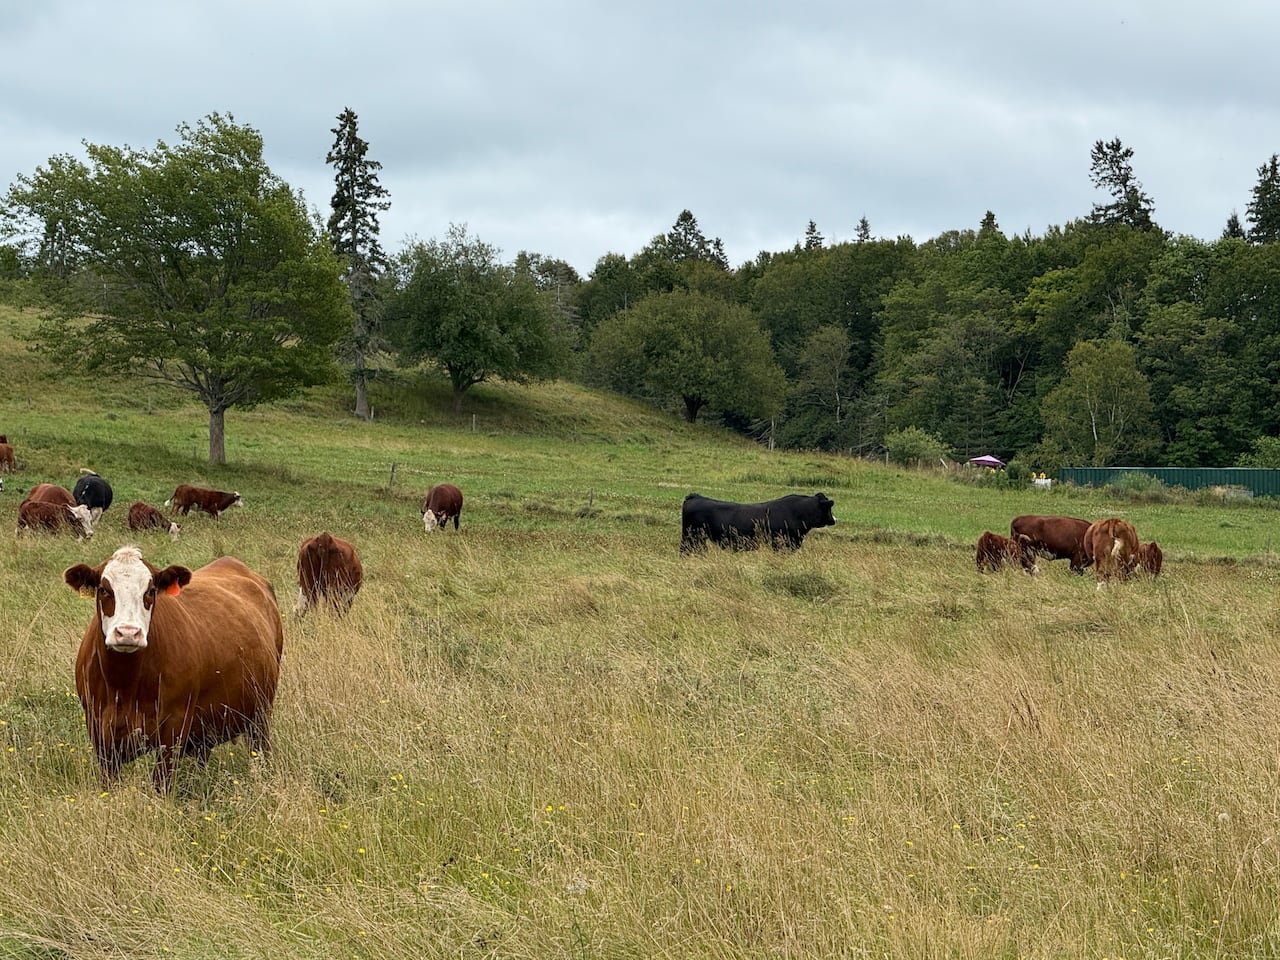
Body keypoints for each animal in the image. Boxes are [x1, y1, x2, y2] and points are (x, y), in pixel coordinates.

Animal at [63, 546, 284, 792]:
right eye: (103, 589)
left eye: (150, 591)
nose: (128, 633)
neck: (123, 685)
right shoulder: (99, 731)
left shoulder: (174, 727)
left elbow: (161, 783)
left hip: (260, 713)